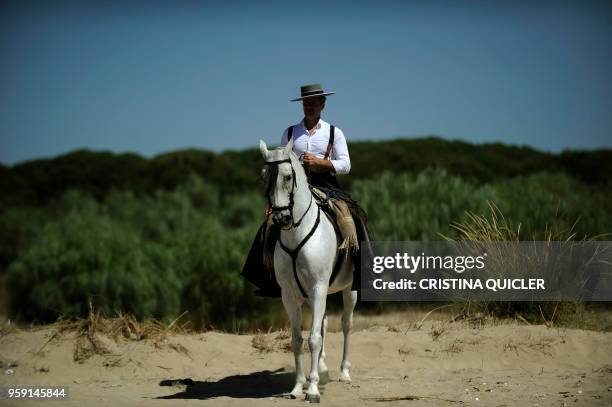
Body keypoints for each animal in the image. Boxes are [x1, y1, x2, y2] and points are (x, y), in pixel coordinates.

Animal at [260, 140, 358, 404]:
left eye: (287, 176)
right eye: (264, 176)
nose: (282, 218)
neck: (297, 233)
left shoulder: (318, 287)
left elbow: (314, 339)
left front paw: (312, 389)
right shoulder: (290, 295)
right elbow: (297, 340)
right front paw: (297, 387)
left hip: (348, 290)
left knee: (346, 324)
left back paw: (344, 372)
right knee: (323, 323)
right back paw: (323, 369)